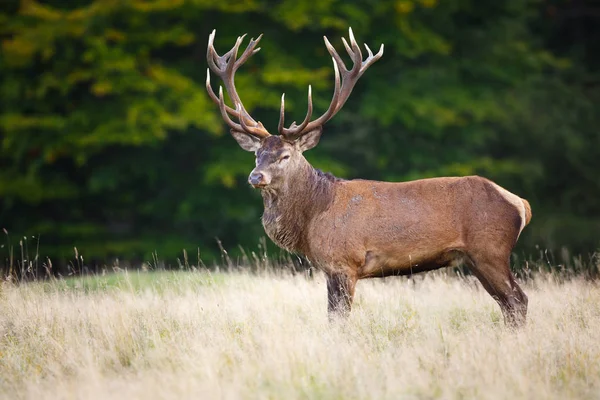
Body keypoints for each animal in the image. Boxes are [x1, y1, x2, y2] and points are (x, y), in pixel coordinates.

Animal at [205, 28, 528, 328]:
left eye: (285, 155)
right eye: (256, 154)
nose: (255, 176)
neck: (313, 215)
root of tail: (521, 204)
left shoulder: (345, 262)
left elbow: (339, 319)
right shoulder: (330, 269)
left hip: (490, 250)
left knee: (518, 300)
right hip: (475, 258)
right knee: (508, 304)